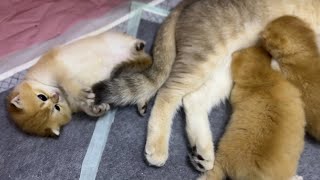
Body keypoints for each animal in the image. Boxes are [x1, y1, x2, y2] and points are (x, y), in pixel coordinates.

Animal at [6, 31, 152, 137]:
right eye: (57, 108)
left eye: (41, 97)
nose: (56, 97)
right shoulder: (77, 105)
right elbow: (87, 108)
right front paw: (97, 109)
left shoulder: (58, 69)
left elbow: (68, 83)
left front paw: (80, 93)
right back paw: (141, 102)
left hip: (116, 40)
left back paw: (137, 46)